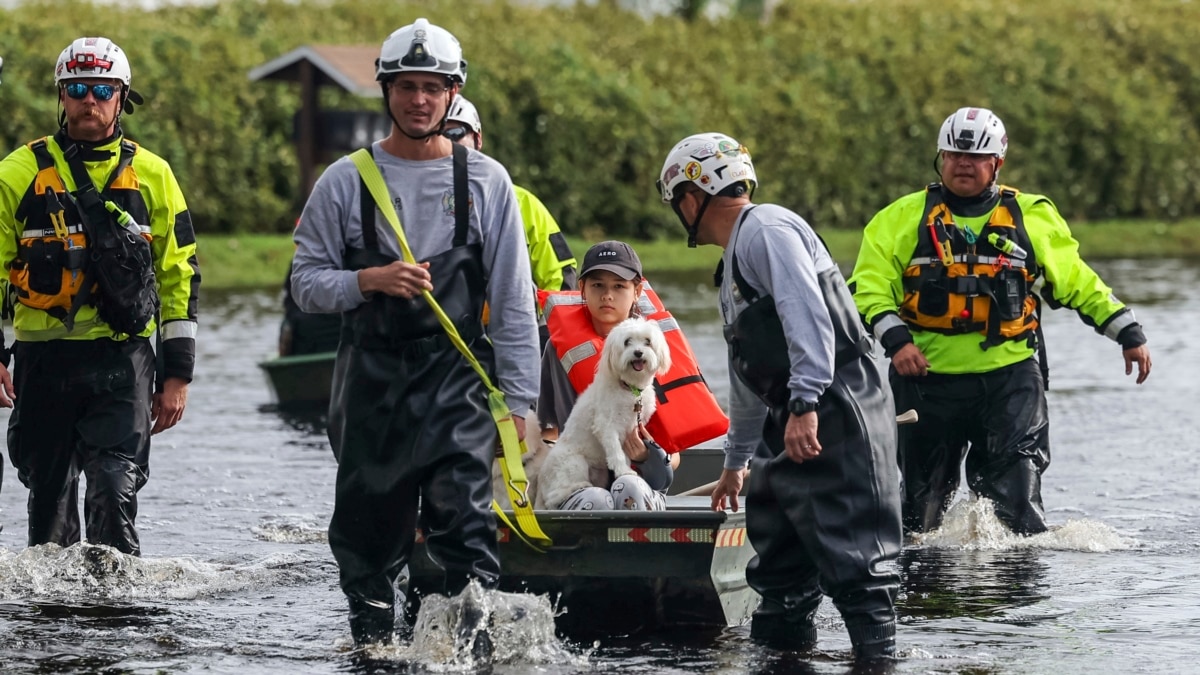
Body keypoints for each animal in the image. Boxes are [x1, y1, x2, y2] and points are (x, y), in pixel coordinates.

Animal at [537, 317, 672, 506]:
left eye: (648, 341)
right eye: (627, 341)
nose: (638, 352)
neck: (629, 389)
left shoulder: (630, 430)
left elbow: (624, 454)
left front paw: (624, 469)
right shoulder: (606, 426)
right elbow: (616, 451)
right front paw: (624, 471)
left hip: (598, 473)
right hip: (574, 462)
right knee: (554, 497)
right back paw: (577, 486)